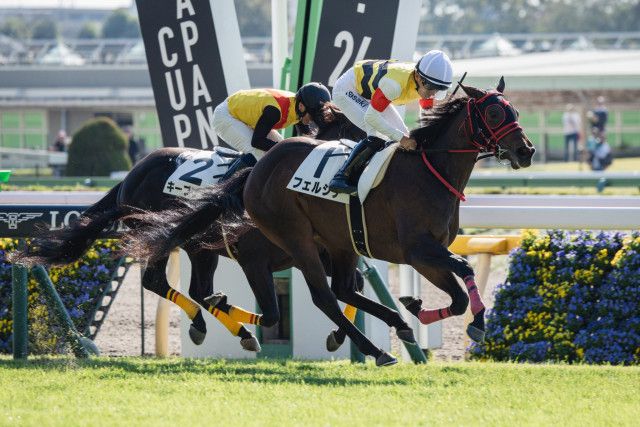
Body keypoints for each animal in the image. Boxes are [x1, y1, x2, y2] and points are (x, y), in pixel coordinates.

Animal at [11, 108, 364, 354]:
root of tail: (132, 174)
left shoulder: (312, 253)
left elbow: (352, 287)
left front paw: (338, 335)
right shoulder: (259, 257)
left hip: (199, 248)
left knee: (196, 289)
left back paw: (219, 327)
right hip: (165, 238)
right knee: (159, 282)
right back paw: (216, 326)